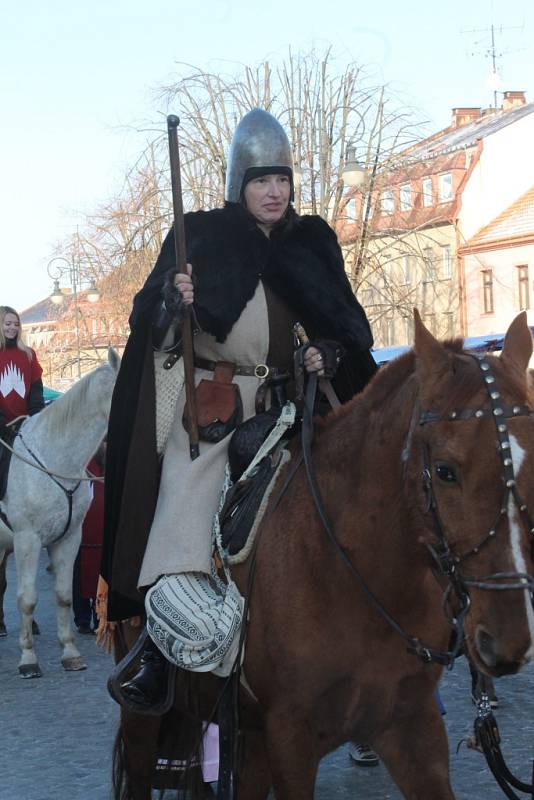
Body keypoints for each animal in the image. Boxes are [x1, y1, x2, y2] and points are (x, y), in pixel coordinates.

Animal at [0, 348, 119, 676]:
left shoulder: (69, 539)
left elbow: (64, 596)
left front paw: (69, 652)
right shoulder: (28, 540)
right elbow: (27, 599)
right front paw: (28, 658)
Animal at [111, 312, 534, 800]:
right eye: (445, 471)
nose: (507, 641)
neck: (354, 572)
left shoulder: (412, 725)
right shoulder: (290, 740)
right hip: (146, 724)